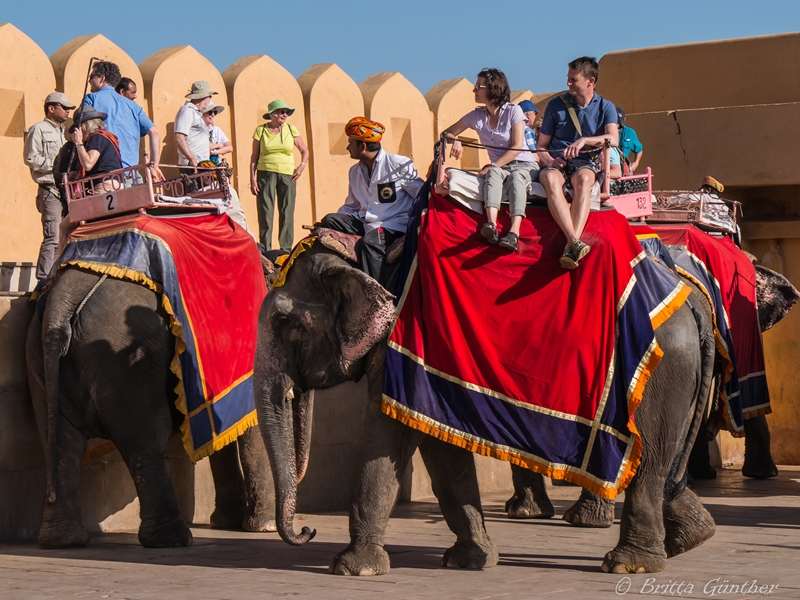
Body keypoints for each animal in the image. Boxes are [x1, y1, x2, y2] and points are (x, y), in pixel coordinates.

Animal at [25, 268, 276, 548]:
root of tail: (61, 301)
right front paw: (265, 527)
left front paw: (226, 524)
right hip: (120, 355)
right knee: (143, 439)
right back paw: (172, 539)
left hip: (38, 353)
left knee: (60, 443)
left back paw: (63, 541)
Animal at [256, 241, 720, 576]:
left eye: (287, 325)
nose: (307, 530)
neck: (358, 258)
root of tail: (688, 297)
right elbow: (440, 449)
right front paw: (472, 560)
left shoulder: (399, 343)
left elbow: (386, 436)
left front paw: (352, 569)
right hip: (680, 376)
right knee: (664, 462)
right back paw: (692, 539)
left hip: (662, 374)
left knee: (649, 463)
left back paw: (629, 564)